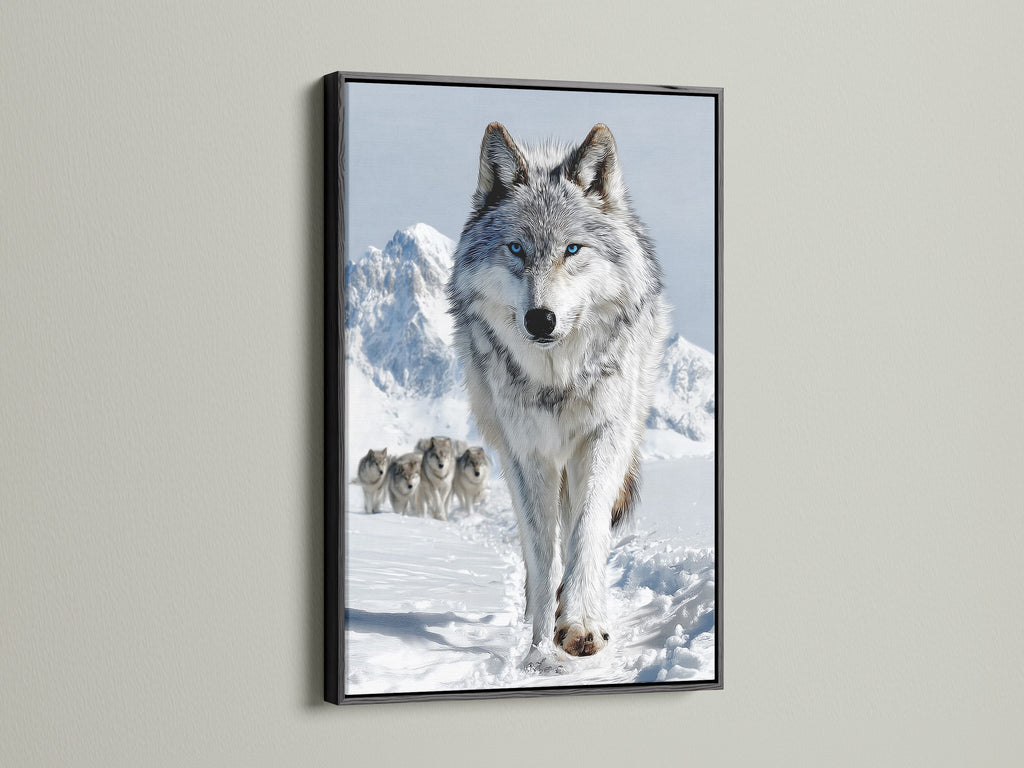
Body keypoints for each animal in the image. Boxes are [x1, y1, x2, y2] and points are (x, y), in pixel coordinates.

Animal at [447, 122, 669, 658]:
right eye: (516, 249)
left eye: (572, 250)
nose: (540, 319)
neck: (558, 380)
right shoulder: (528, 453)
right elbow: (541, 552)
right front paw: (538, 645)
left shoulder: (604, 437)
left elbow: (586, 532)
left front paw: (583, 621)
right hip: (505, 447)